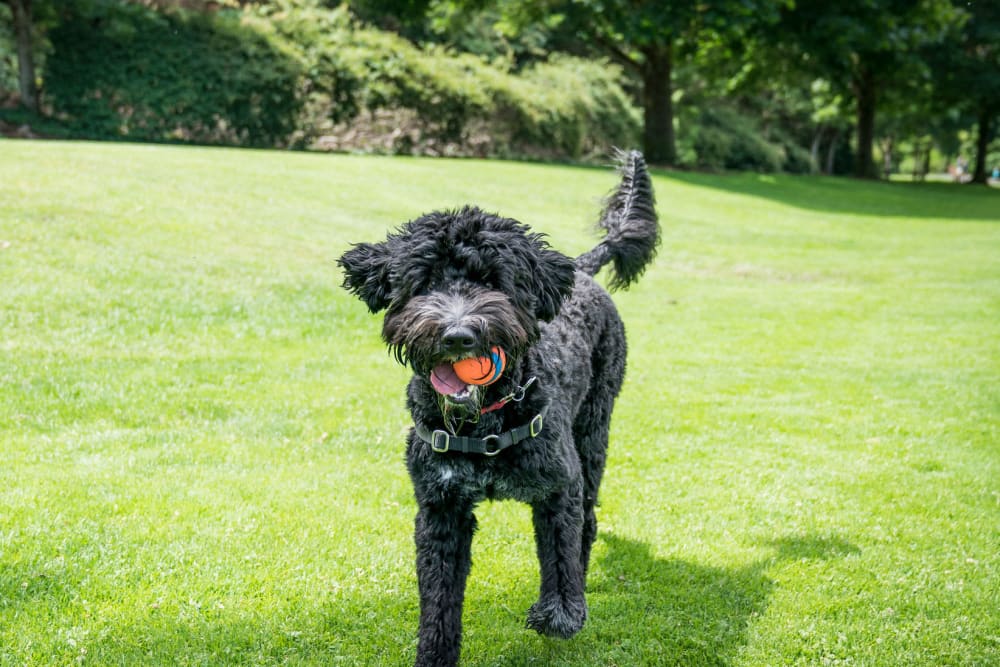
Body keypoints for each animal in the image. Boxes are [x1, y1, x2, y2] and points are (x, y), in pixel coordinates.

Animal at [340, 151, 660, 667]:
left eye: (493, 281)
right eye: (424, 282)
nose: (457, 335)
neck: (484, 421)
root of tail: (581, 270)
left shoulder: (559, 487)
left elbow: (560, 555)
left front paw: (558, 612)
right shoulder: (440, 508)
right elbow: (439, 600)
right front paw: (434, 654)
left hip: (594, 432)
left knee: (587, 522)